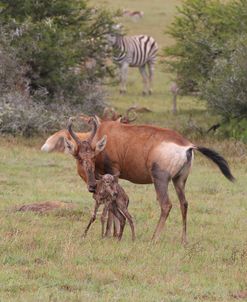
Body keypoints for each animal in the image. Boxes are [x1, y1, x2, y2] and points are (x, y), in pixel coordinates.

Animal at [41, 117, 234, 244]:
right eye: (79, 157)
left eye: (93, 156)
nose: (91, 186)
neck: (107, 133)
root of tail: (188, 146)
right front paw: (114, 234)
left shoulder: (113, 172)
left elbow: (111, 207)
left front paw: (110, 235)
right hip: (179, 180)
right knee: (184, 204)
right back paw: (183, 240)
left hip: (160, 179)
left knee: (166, 205)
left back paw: (153, 239)